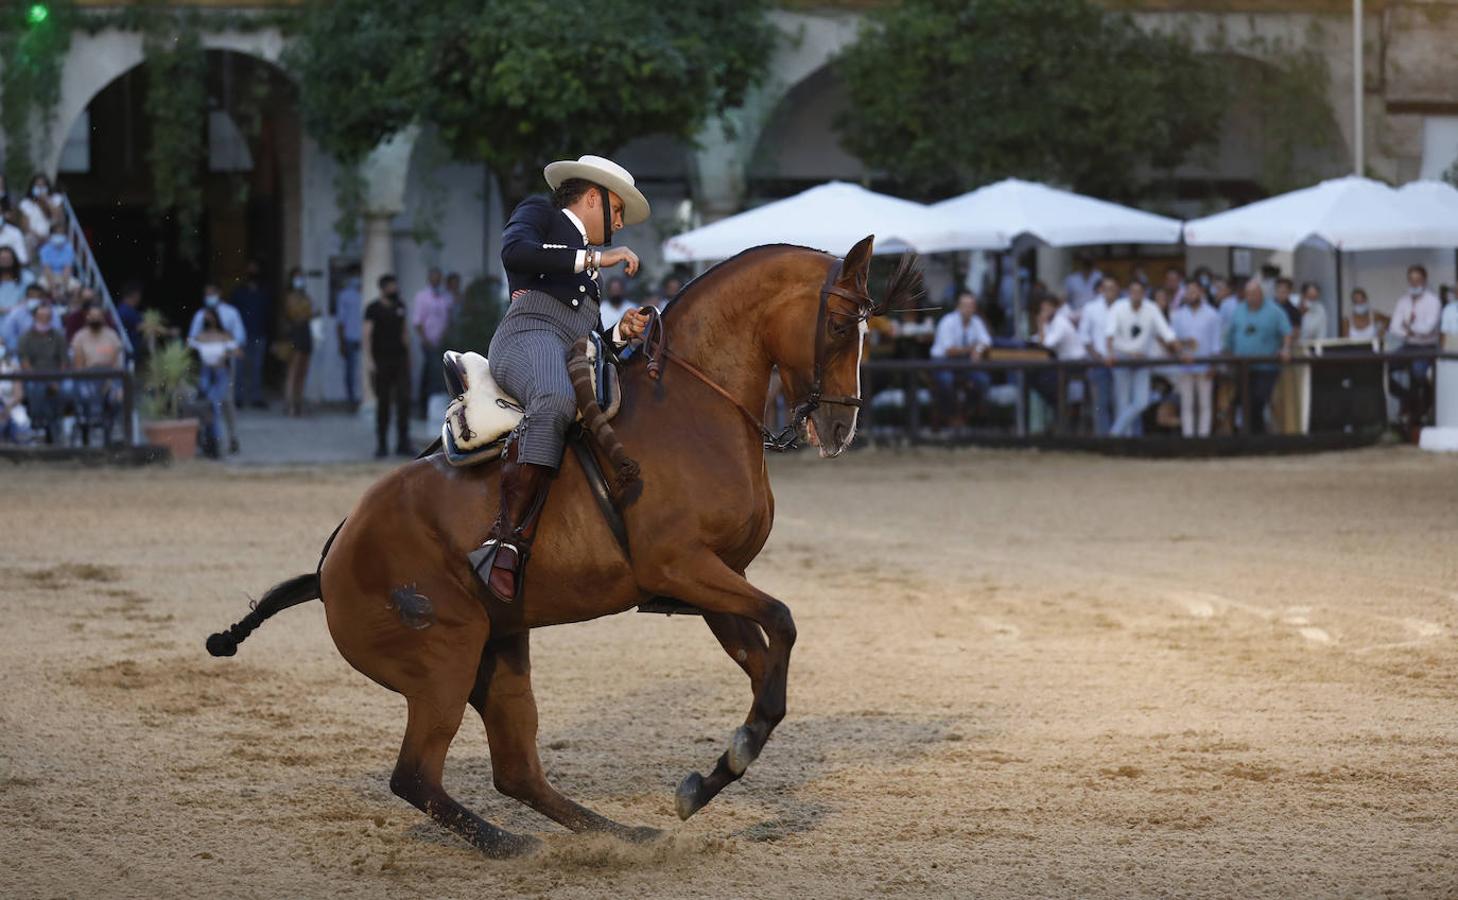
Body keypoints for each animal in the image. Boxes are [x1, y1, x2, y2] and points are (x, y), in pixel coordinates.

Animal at [205, 236, 921, 857]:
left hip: (499, 655)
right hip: (445, 663)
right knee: (415, 776)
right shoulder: (686, 568)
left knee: (515, 771)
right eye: (840, 325)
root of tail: (331, 560)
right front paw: (730, 758)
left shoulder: (717, 581)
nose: (841, 426)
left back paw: (620, 835)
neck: (696, 405)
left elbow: (766, 671)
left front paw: (706, 780)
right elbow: (784, 624)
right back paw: (513, 846)